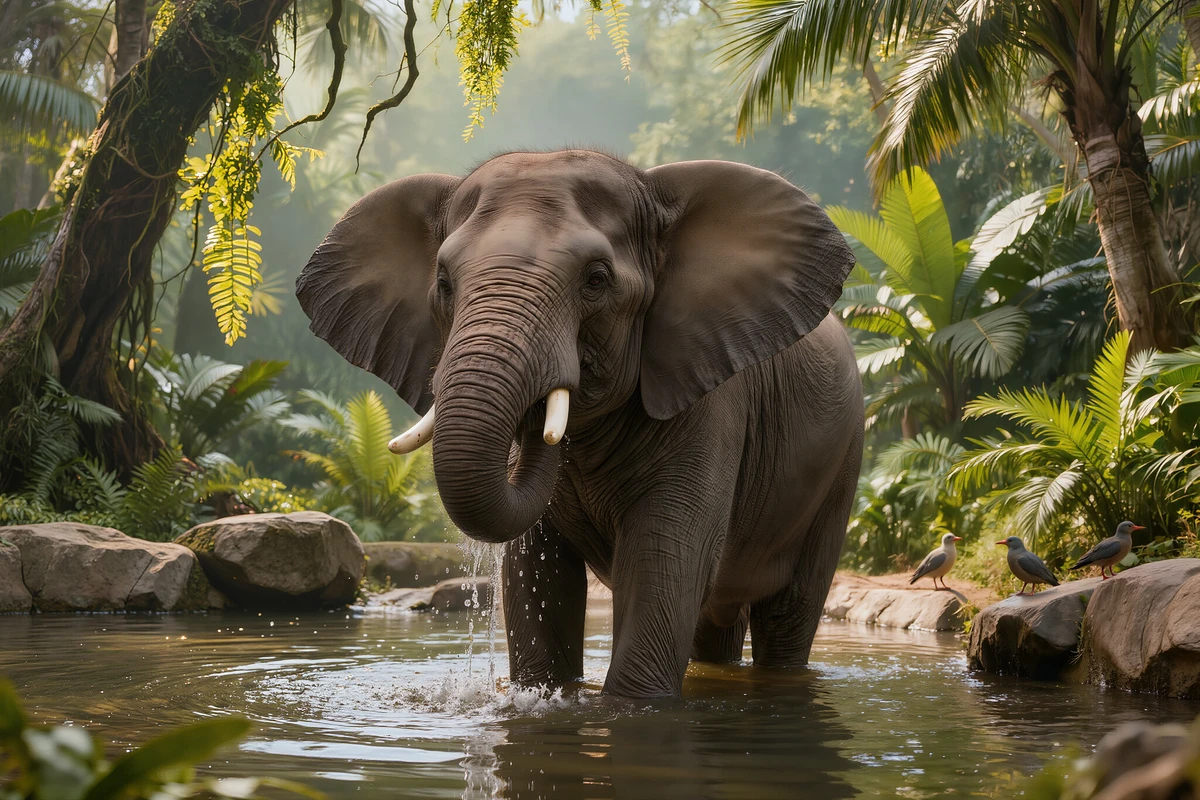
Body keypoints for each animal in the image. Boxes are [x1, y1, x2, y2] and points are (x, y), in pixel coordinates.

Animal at [296, 149, 863, 699]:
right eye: (443, 283)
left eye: (596, 279)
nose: (538, 417)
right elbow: (534, 571)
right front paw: (542, 695)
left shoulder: (711, 402)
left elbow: (664, 565)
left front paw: (631, 705)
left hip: (840, 468)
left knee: (788, 612)